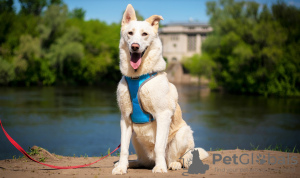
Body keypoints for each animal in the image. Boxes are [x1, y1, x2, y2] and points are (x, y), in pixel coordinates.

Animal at [112, 3, 209, 174]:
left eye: (144, 34)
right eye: (130, 33)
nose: (135, 46)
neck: (137, 76)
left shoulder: (163, 115)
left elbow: (159, 146)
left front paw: (160, 168)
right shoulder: (125, 118)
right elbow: (123, 148)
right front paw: (122, 167)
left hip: (183, 134)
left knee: (180, 157)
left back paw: (172, 164)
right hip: (136, 137)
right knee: (142, 160)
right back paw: (129, 163)